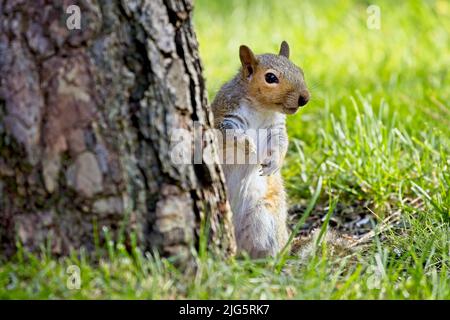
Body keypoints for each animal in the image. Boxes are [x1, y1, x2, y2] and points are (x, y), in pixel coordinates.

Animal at [211, 41, 310, 258]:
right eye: (270, 78)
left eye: (300, 70)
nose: (305, 99)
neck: (262, 108)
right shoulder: (224, 117)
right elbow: (231, 134)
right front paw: (250, 145)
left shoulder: (276, 128)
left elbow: (281, 144)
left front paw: (273, 164)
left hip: (264, 217)